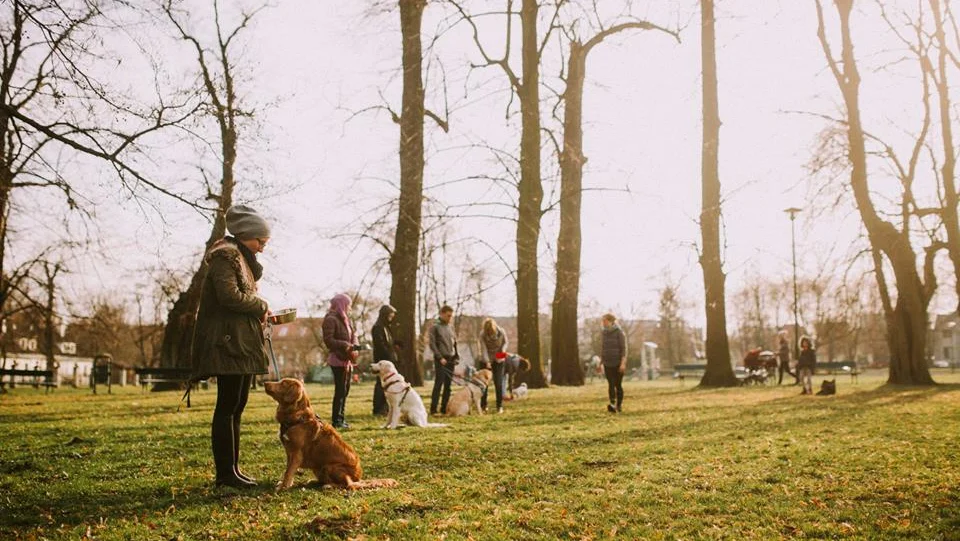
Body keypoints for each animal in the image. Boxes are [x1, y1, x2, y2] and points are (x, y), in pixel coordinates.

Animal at [262, 380, 398, 490]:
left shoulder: (296, 454)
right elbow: (288, 471)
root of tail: (358, 478)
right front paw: (285, 484)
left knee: (348, 485)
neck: (298, 418)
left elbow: (288, 472)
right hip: (318, 468)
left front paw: (283, 487)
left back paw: (328, 486)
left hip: (330, 466)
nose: (265, 383)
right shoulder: (290, 453)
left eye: (283, 383)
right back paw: (315, 482)